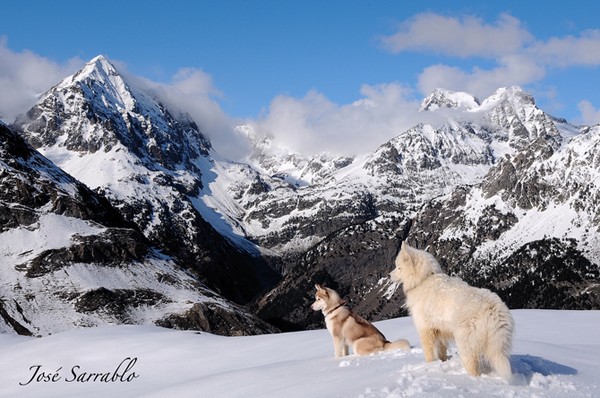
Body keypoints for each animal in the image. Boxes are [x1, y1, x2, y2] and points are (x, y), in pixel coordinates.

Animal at [390, 241, 516, 380]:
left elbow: (429, 352)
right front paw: (442, 362)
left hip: (465, 343)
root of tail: (494, 309)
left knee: (472, 367)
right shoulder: (440, 330)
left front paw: (429, 366)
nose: (389, 276)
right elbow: (442, 351)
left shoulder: (425, 329)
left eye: (399, 267)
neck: (423, 280)